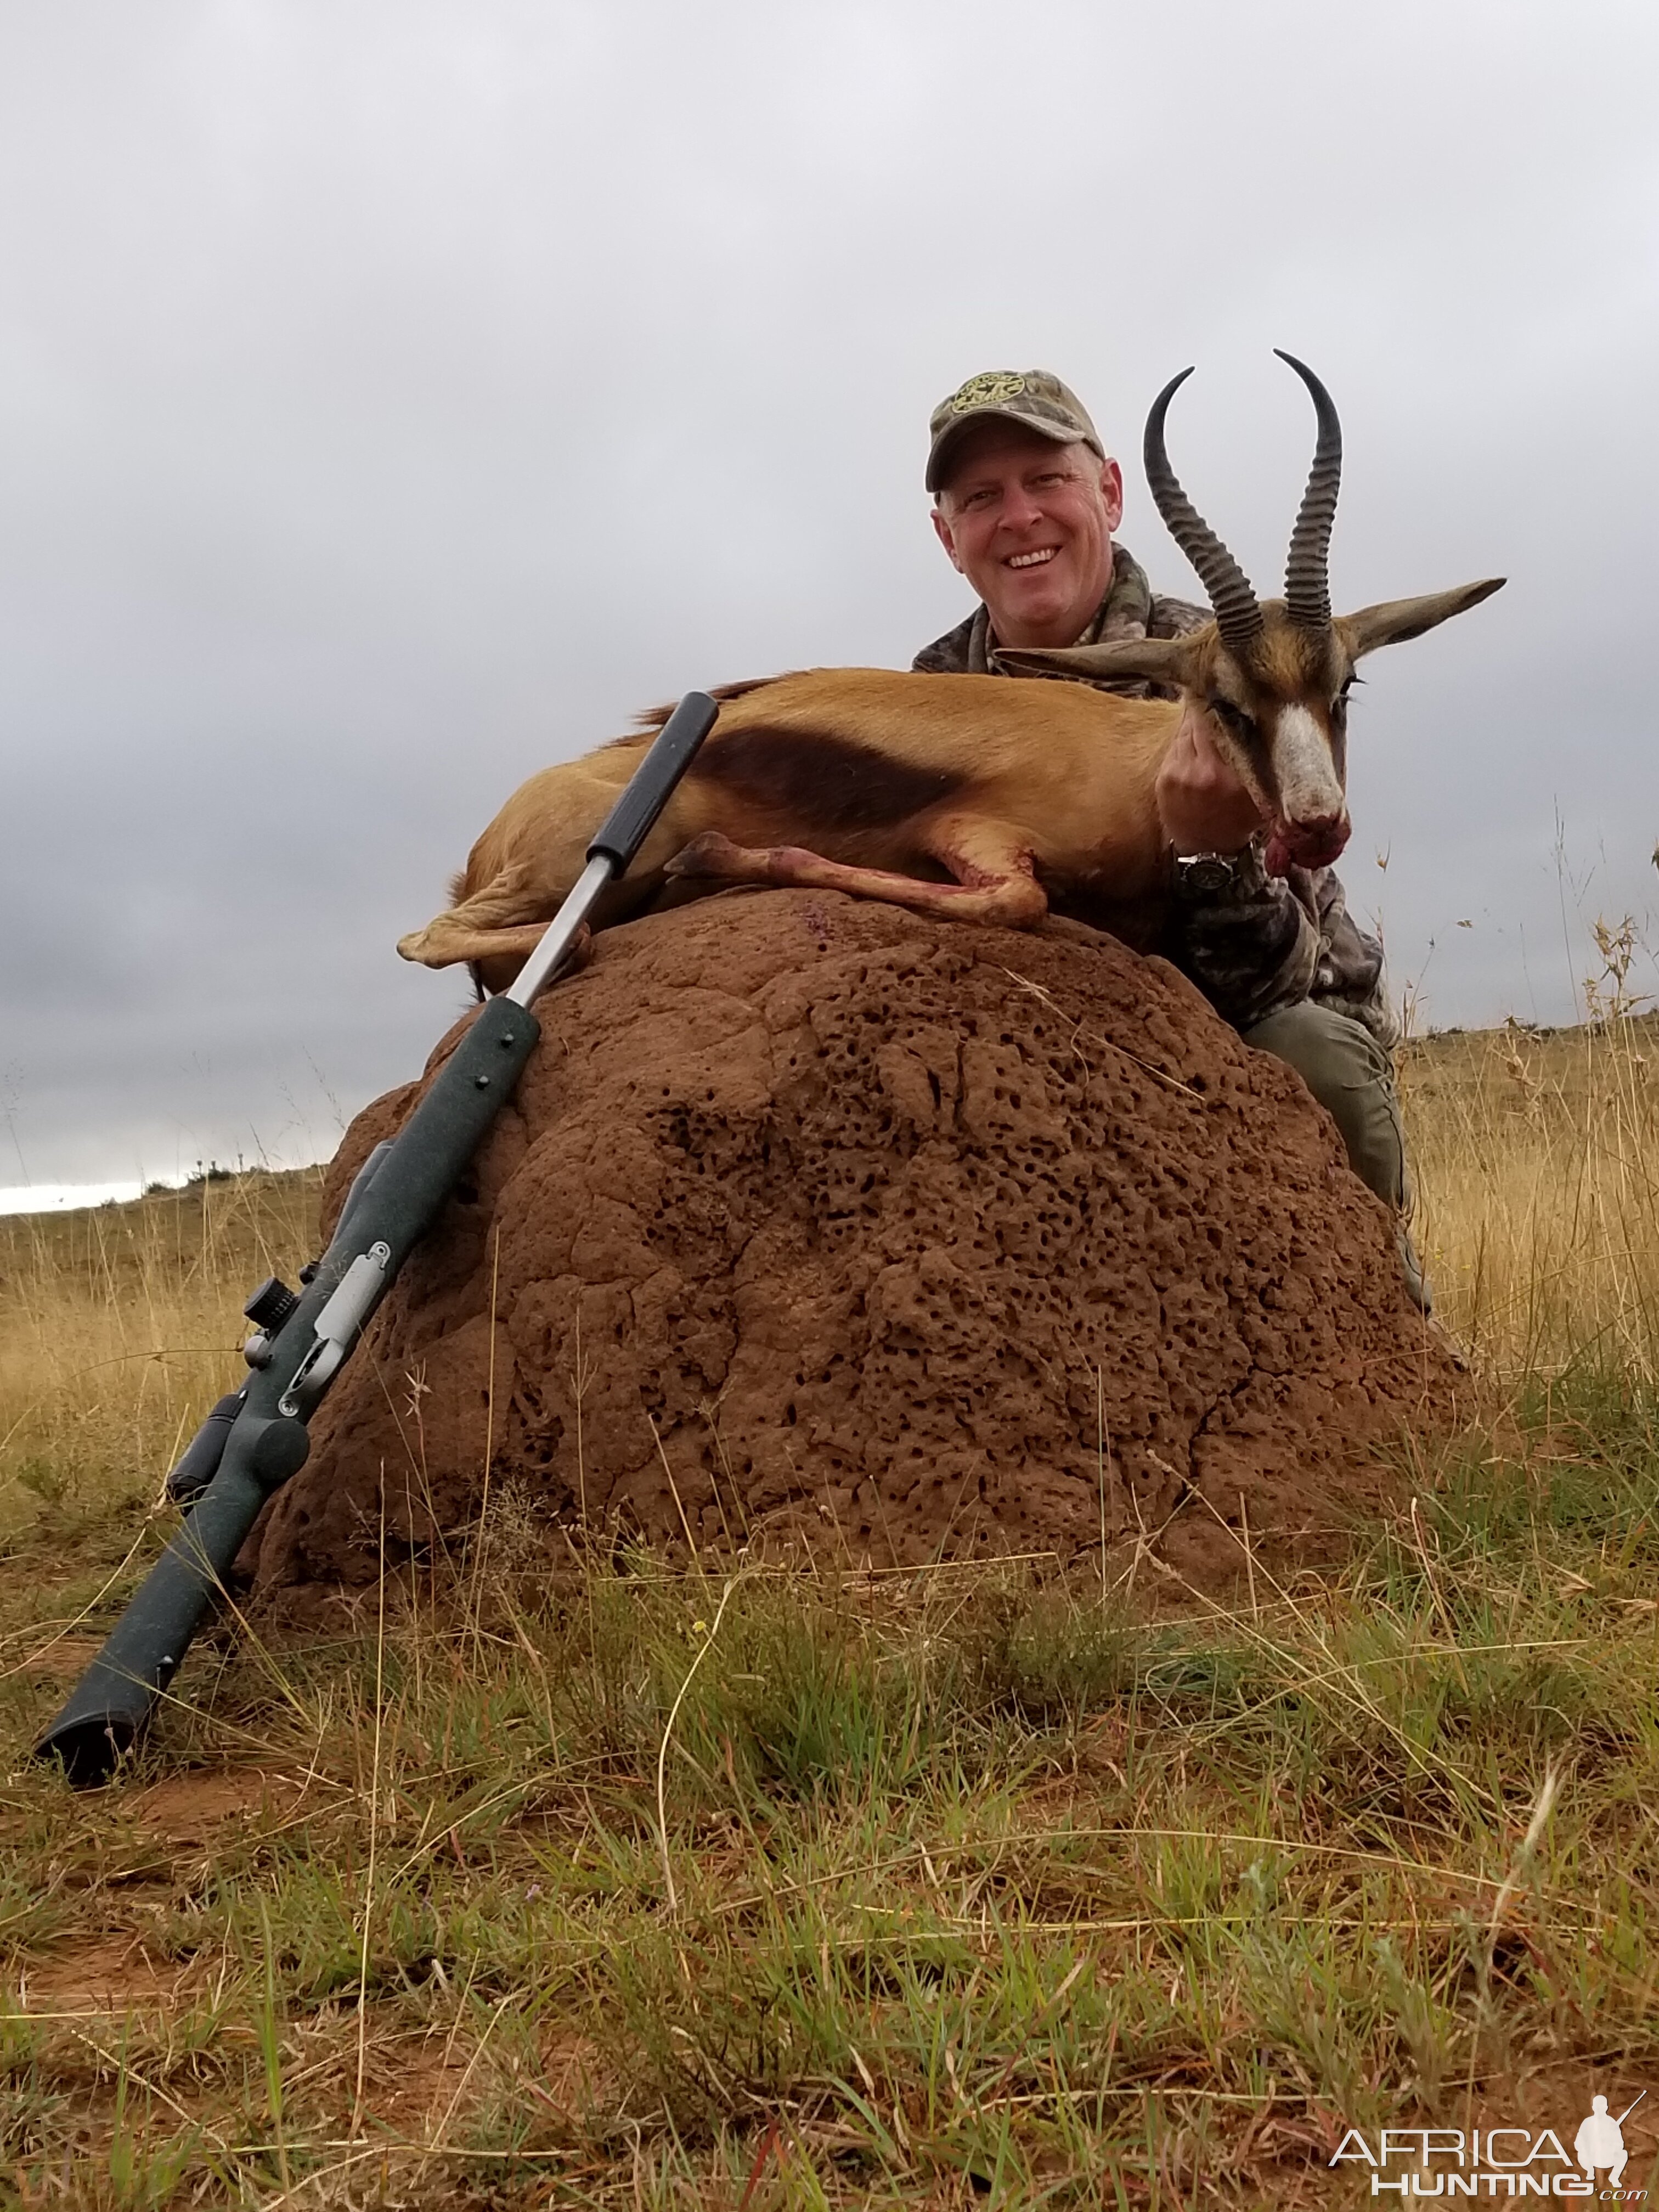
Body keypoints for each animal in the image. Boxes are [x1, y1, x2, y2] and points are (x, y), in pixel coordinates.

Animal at [396, 349, 1504, 991]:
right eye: (1224, 703)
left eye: (1342, 688)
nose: (1317, 825)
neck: (1131, 770)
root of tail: (489, 835)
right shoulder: (973, 837)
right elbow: (1016, 903)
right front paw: (731, 858)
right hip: (579, 867)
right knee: (442, 938)